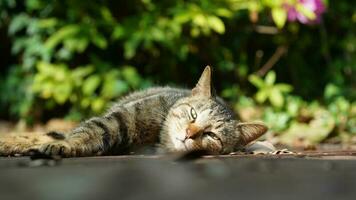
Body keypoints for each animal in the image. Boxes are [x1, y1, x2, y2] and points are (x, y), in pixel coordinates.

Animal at [0, 66, 268, 157]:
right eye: (193, 114)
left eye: (212, 135)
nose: (189, 134)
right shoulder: (120, 119)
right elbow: (86, 133)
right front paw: (64, 146)